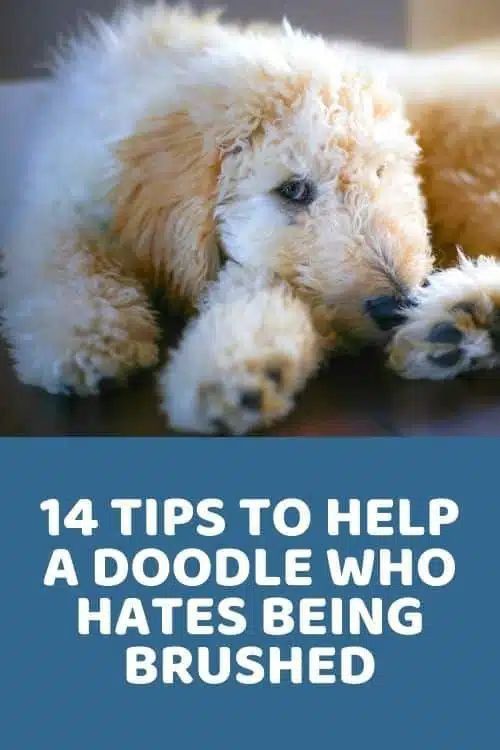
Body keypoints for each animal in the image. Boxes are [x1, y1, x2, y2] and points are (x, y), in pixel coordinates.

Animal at [2, 4, 500, 434]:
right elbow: (60, 256)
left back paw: (462, 317)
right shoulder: (63, 193)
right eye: (294, 190)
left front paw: (233, 367)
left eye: (380, 172)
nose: (396, 303)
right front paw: (88, 337)